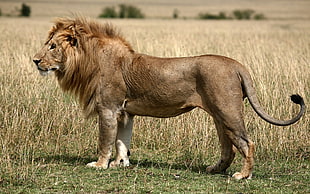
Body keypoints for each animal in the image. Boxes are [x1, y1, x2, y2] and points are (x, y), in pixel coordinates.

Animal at [32, 17, 306, 180]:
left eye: (53, 46)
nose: (35, 60)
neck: (90, 61)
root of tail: (238, 64)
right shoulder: (125, 112)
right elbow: (122, 141)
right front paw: (121, 164)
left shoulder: (108, 109)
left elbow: (105, 141)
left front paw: (99, 165)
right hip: (219, 114)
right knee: (227, 147)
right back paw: (215, 169)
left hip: (228, 110)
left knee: (247, 143)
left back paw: (242, 176)